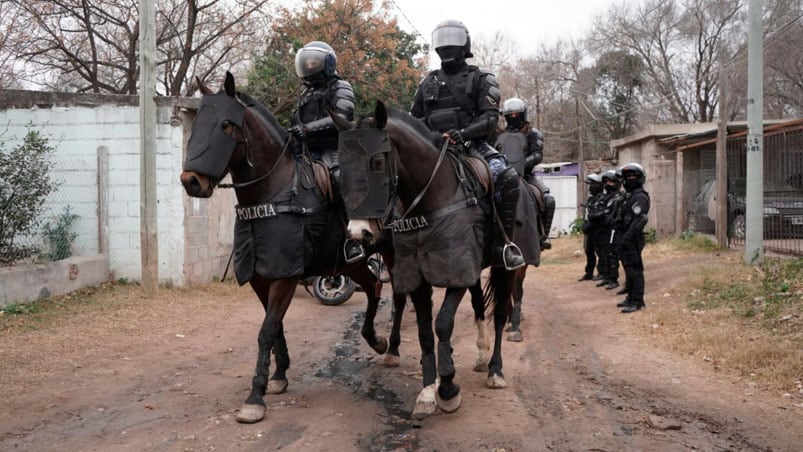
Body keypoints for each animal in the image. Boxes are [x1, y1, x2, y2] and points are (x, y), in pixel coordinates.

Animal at [181, 73, 396, 424]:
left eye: (226, 124)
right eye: (198, 122)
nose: (191, 181)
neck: (273, 193)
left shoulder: (286, 275)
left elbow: (266, 329)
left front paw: (255, 397)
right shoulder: (260, 276)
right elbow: (275, 325)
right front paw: (279, 375)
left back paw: (393, 347)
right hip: (349, 264)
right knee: (374, 285)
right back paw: (375, 339)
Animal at [332, 101, 540, 420]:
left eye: (377, 161)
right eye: (342, 166)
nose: (359, 232)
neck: (433, 199)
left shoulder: (455, 272)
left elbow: (442, 324)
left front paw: (449, 388)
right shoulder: (420, 276)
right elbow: (424, 332)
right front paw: (429, 390)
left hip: (507, 266)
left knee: (501, 312)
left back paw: (495, 369)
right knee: (479, 304)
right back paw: (481, 354)